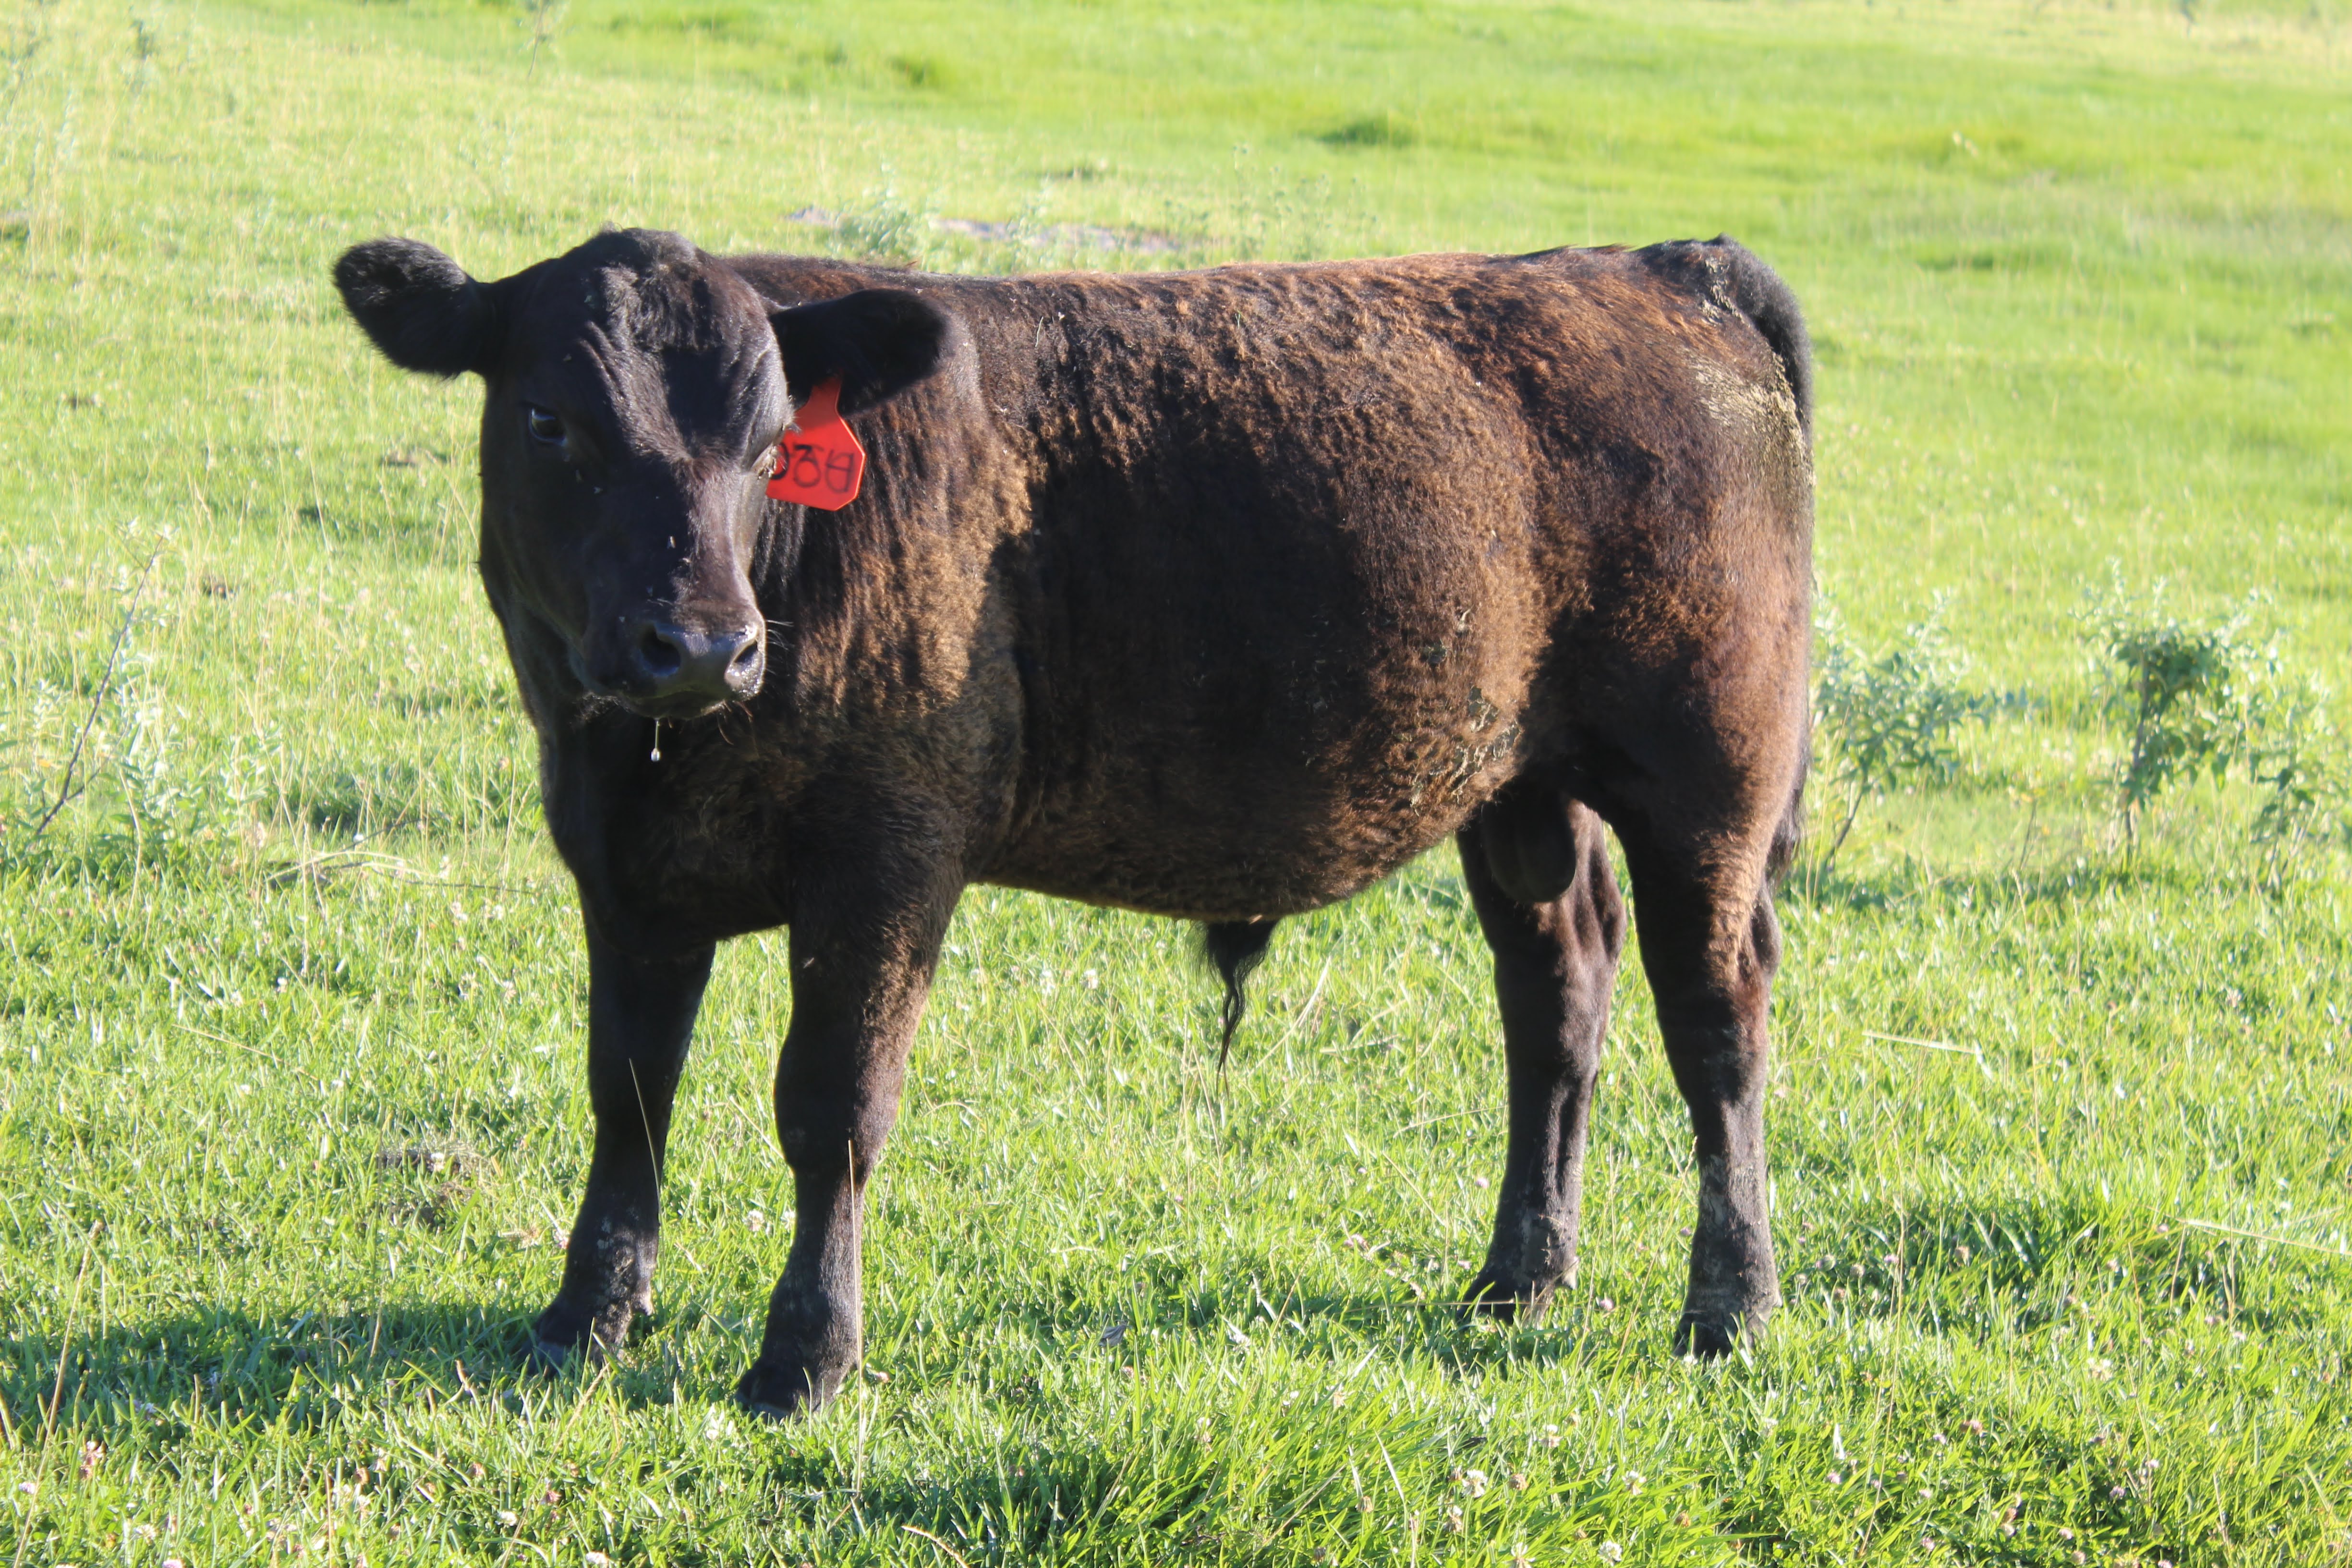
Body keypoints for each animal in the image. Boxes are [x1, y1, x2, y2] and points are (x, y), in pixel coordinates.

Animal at [333, 225, 1813, 1416]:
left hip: (1707, 788)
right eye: (548, 422)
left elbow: (832, 1108)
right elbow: (628, 1092)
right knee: (1556, 994)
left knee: (1715, 1020)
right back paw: (1519, 1275)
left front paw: (805, 1358)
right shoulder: (624, 872)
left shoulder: (886, 867)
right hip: (1518, 786)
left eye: (769, 446)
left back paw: (1728, 1306)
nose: (700, 643)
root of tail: (1658, 265)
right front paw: (585, 1319)